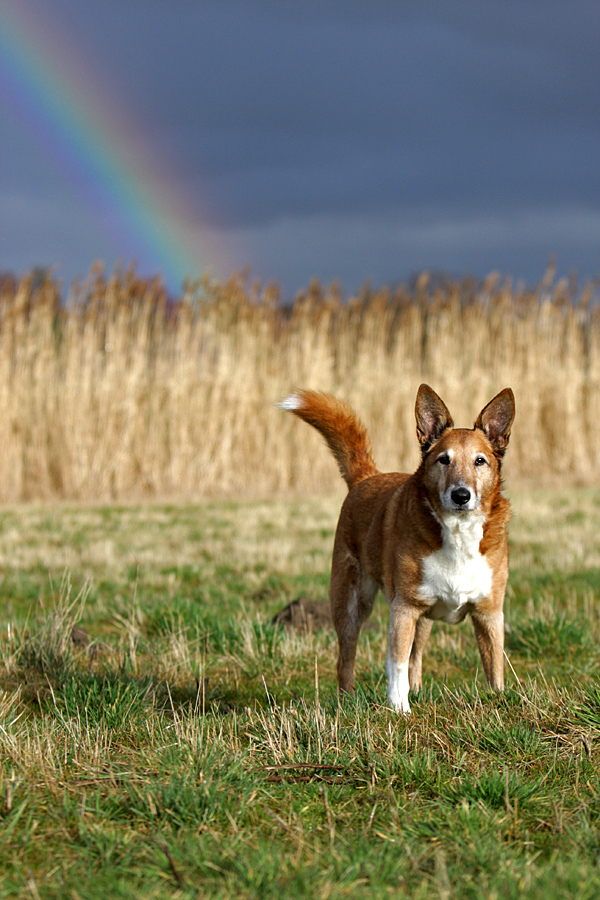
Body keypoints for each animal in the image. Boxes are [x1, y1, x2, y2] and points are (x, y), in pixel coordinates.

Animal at [282, 384, 516, 712]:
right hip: (351, 602)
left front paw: (499, 701)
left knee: (416, 656)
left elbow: (493, 664)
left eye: (480, 461)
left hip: (424, 616)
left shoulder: (489, 612)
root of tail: (367, 477)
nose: (461, 495)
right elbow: (396, 664)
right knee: (347, 658)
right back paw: (348, 699)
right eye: (443, 460)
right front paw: (399, 708)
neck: (457, 533)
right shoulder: (403, 608)